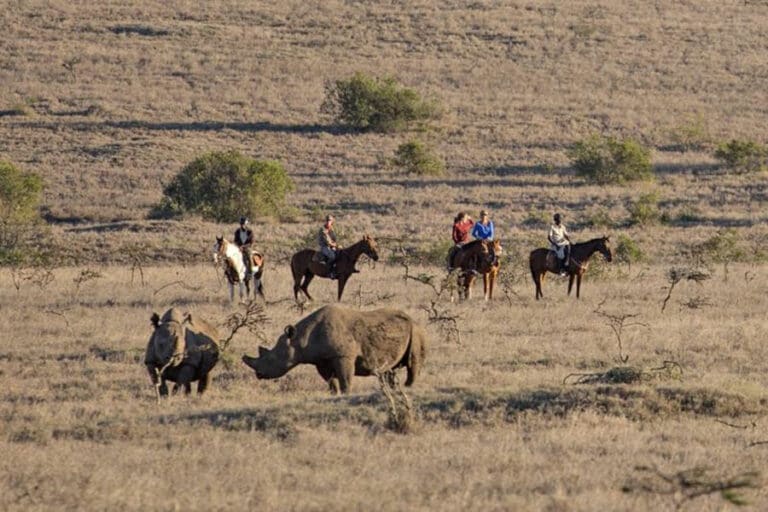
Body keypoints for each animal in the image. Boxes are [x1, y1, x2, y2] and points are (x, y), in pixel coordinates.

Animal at [242, 305, 428, 394]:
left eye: (272, 359)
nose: (258, 375)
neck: (301, 338)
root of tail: (413, 320)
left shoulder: (343, 356)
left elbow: (345, 378)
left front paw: (346, 394)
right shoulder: (321, 360)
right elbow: (331, 381)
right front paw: (334, 393)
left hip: (416, 330)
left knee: (413, 363)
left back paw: (408, 388)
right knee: (389, 370)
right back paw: (394, 390)